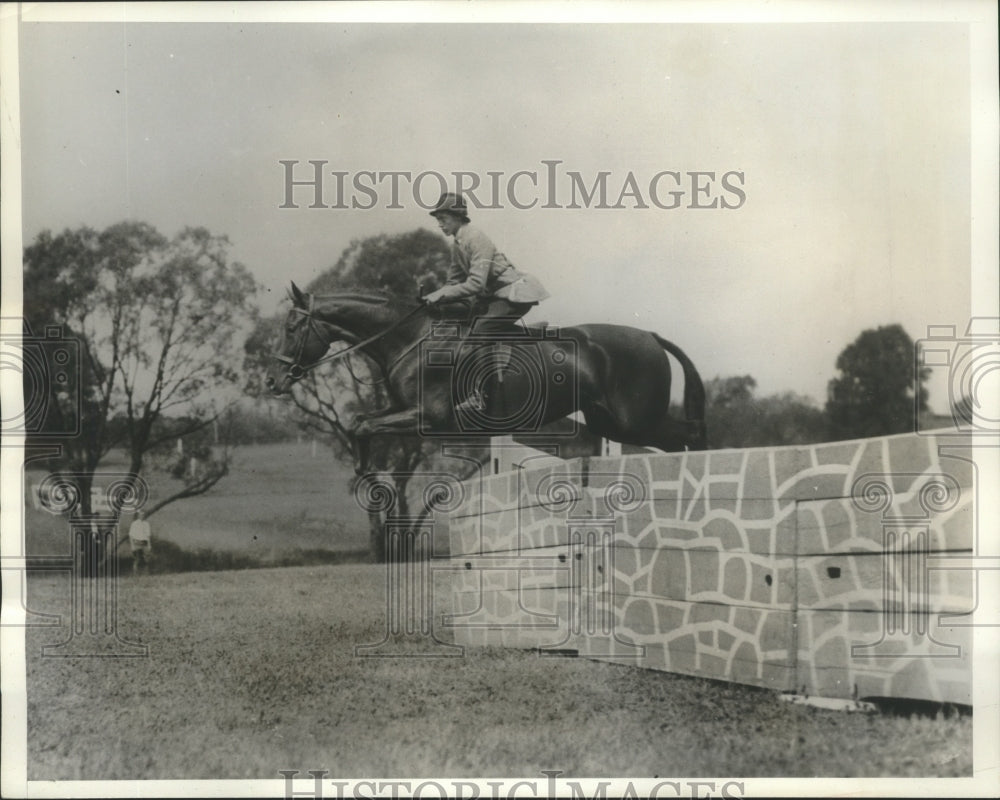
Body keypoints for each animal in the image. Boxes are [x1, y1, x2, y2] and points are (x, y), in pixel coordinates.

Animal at [266, 282, 704, 472]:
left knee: (687, 435)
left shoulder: (429, 418)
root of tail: (650, 336)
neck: (410, 338)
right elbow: (360, 421)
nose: (272, 382)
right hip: (609, 422)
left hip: (635, 420)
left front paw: (362, 469)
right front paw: (361, 466)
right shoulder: (400, 409)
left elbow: (361, 424)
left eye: (291, 327)